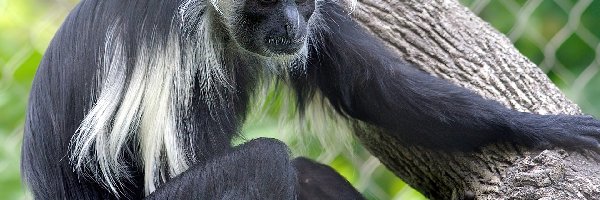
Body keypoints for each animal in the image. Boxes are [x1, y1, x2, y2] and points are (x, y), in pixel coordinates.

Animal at [21, 0, 600, 198]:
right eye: (266, 2)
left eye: (299, 1)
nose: (293, 24)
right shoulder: (175, 40)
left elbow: (373, 87)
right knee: (266, 162)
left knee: (307, 173)